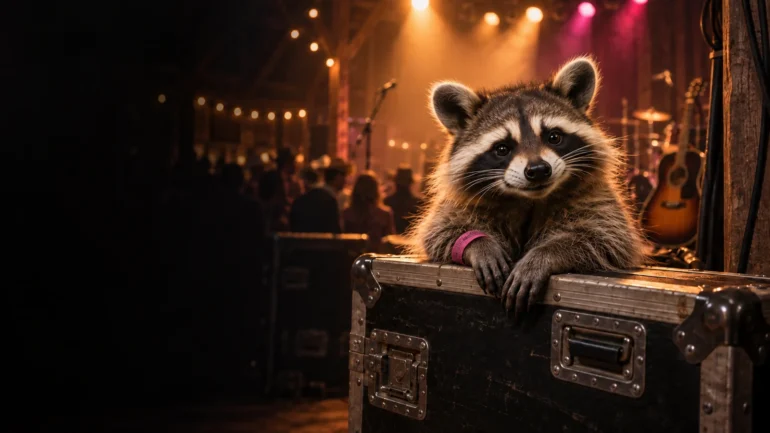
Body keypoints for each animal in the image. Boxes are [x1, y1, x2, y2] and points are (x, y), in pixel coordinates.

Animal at [408, 57, 645, 316]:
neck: (529, 199)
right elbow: (439, 231)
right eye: (502, 148)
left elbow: (607, 237)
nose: (539, 170)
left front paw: (544, 254)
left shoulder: (595, 195)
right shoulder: (460, 202)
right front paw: (480, 244)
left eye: (554, 137)